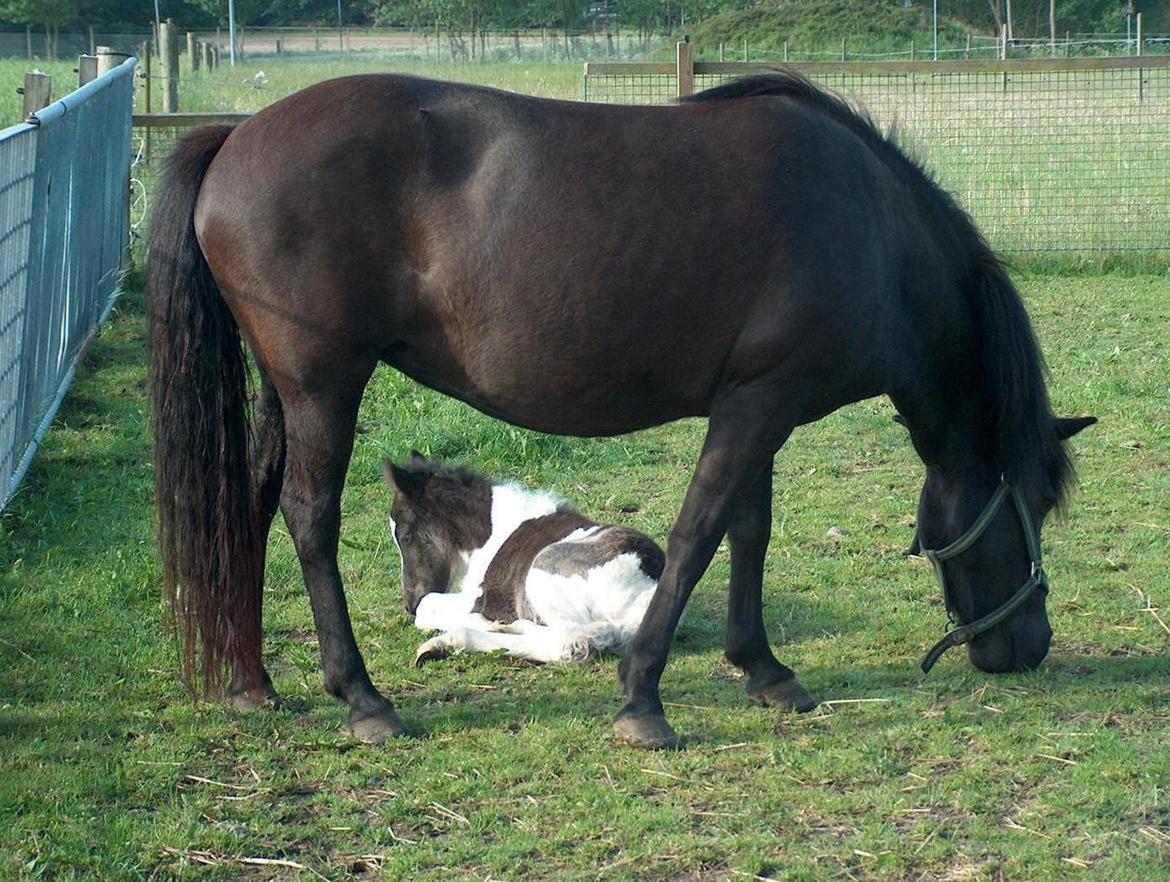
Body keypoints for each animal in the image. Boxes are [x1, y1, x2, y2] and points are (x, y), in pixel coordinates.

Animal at [379, 456, 664, 664]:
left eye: (405, 535)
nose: (409, 602)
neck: (490, 532)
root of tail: (645, 594)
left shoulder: (478, 599)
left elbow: (428, 607)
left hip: (543, 567)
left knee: (569, 642)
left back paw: (447, 641)